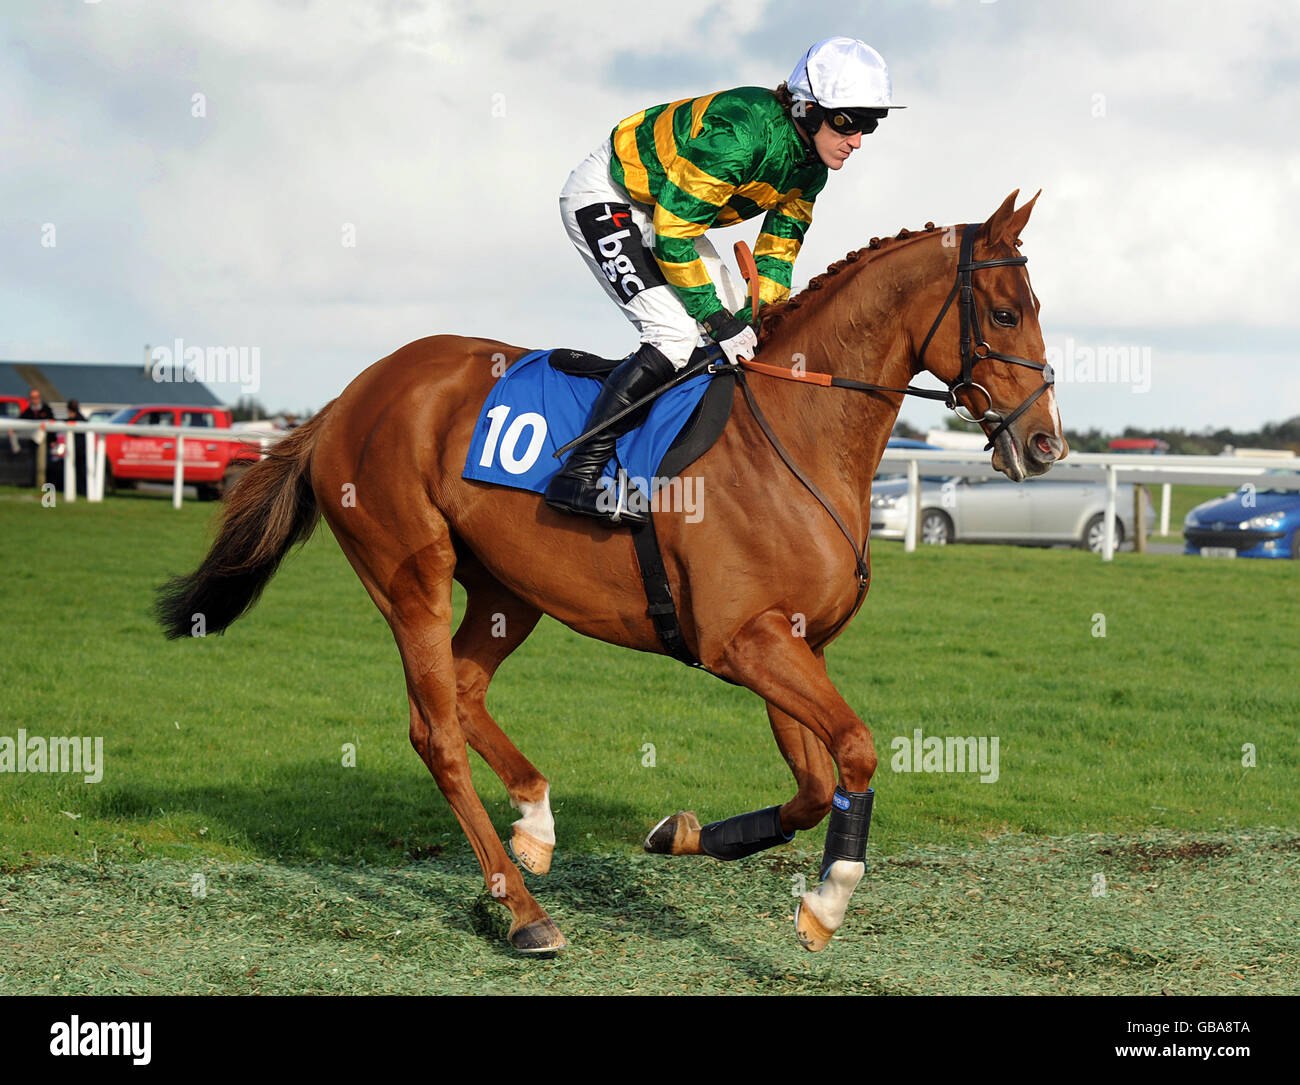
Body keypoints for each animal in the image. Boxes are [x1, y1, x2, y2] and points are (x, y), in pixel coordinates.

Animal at [156, 189, 1066, 955]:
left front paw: (686, 834)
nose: (1045, 441)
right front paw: (829, 898)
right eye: (1006, 310)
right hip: (410, 570)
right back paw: (523, 910)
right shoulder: (742, 641)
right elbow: (857, 749)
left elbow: (815, 784)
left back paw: (534, 820)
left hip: (509, 589)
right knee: (435, 729)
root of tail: (349, 396)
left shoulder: (794, 642)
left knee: (465, 691)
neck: (796, 435)